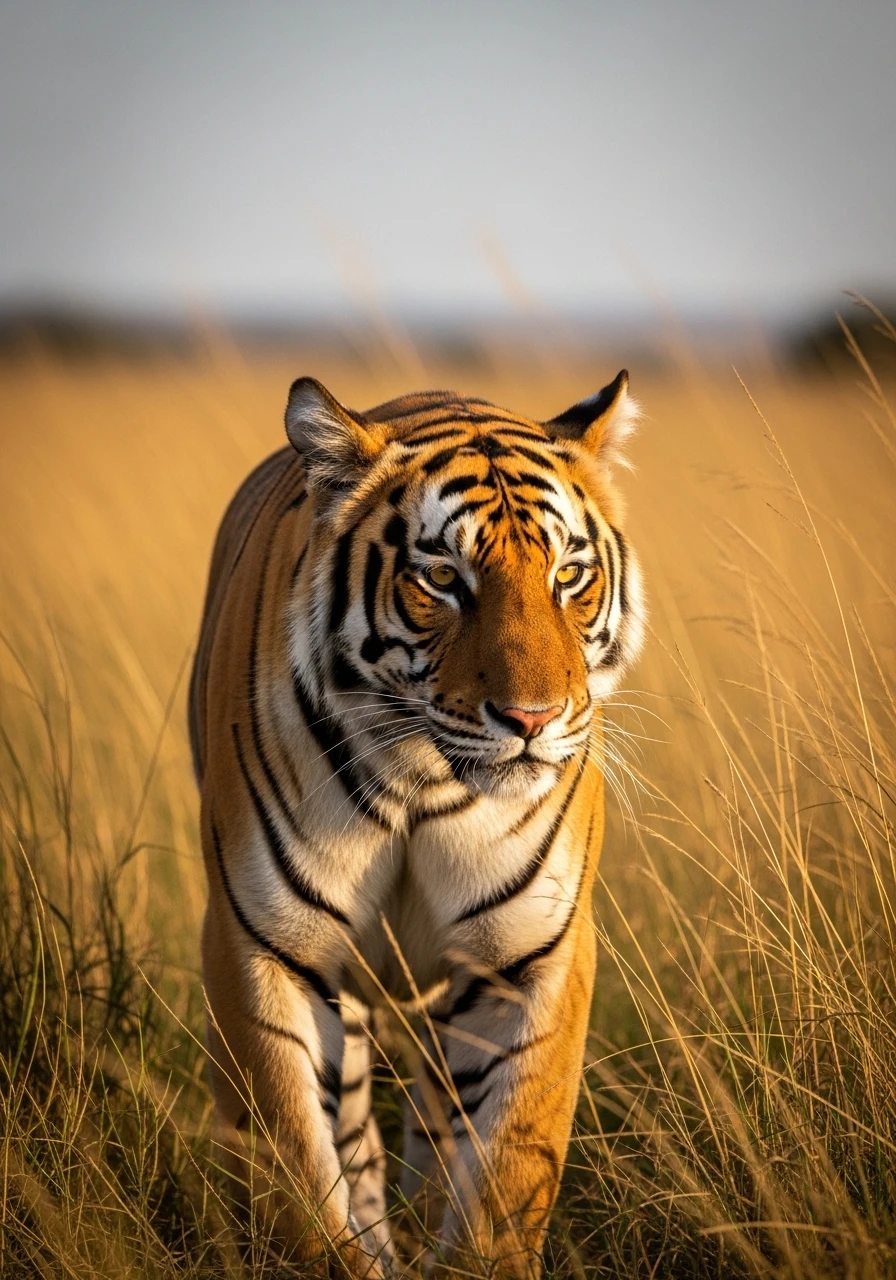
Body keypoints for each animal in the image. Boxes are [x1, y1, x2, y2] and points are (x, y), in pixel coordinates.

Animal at [188, 370, 644, 1278]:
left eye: (570, 573)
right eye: (441, 576)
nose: (534, 718)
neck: (422, 783)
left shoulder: (532, 958)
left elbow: (504, 1179)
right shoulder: (263, 949)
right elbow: (300, 1177)